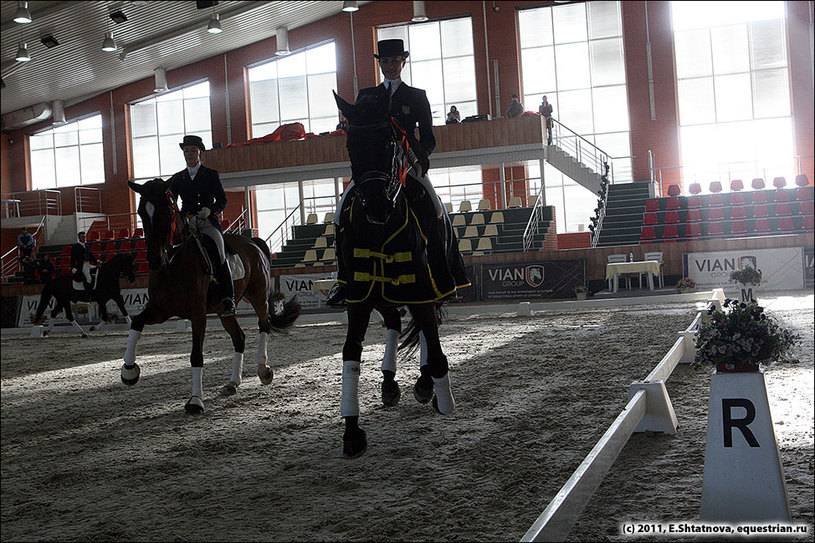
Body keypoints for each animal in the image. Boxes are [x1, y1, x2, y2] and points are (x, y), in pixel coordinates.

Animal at [121, 178, 300, 412]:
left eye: (166, 211)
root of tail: (253, 242)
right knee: (239, 338)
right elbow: (136, 322)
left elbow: (196, 355)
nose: (153, 260)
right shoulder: (160, 309)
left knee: (264, 325)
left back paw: (263, 370)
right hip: (225, 310)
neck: (173, 263)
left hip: (258, 296)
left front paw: (195, 400)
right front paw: (129, 371)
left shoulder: (197, 313)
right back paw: (233, 383)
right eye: (142, 211)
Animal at [334, 89, 472, 460]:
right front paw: (352, 431)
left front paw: (439, 393)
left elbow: (435, 349)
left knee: (426, 327)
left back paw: (423, 384)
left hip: (431, 286)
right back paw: (388, 381)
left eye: (389, 142)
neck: (379, 232)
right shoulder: (359, 296)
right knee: (396, 322)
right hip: (383, 295)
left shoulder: (422, 288)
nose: (377, 207)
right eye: (350, 145)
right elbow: (350, 353)